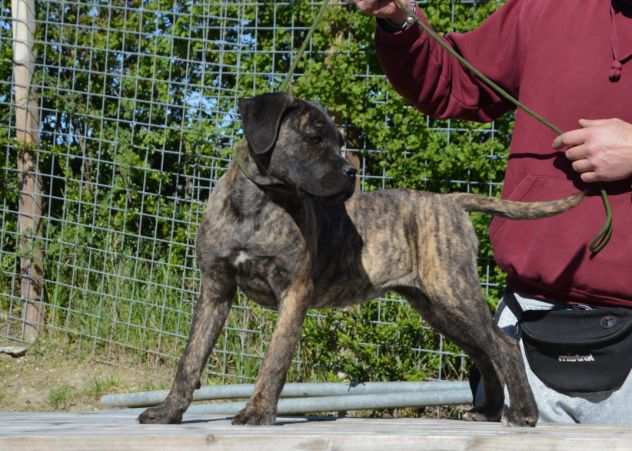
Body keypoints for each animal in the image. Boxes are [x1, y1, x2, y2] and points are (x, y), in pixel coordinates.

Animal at [138, 91, 584, 428]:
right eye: (314, 138)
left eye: (338, 141)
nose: (350, 172)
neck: (259, 203)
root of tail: (450, 202)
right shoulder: (215, 290)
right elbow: (190, 358)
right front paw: (168, 411)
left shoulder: (293, 293)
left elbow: (274, 360)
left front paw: (258, 411)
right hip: (438, 307)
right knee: (482, 350)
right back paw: (486, 412)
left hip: (453, 292)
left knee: (502, 345)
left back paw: (522, 413)